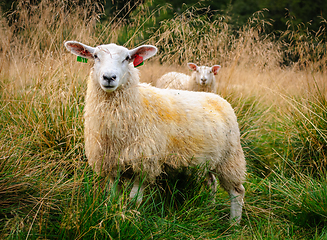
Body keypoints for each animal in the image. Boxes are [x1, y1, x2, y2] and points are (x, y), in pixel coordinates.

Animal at [64, 40, 246, 223]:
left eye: (127, 58)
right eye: (95, 56)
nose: (109, 77)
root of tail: (219, 99)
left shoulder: (145, 164)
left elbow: (134, 200)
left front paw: (130, 220)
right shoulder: (111, 164)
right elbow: (114, 197)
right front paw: (113, 215)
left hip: (230, 158)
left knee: (237, 191)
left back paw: (234, 223)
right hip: (208, 160)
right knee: (211, 183)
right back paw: (209, 207)